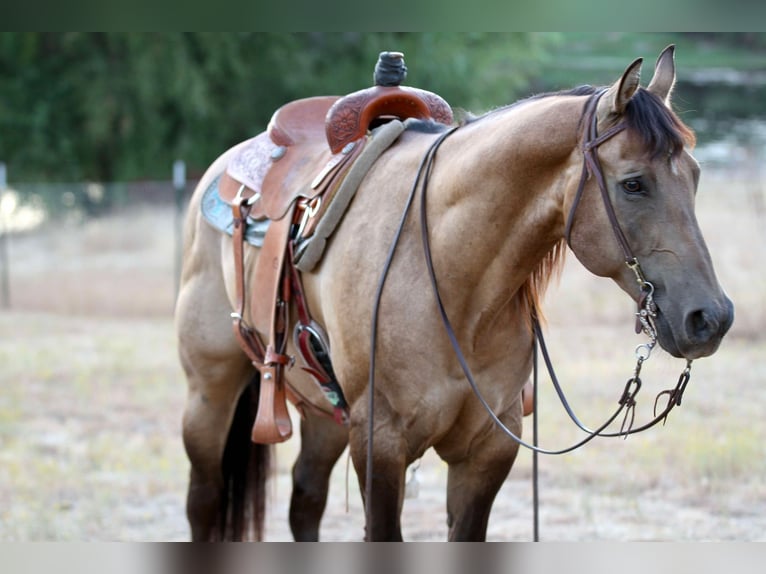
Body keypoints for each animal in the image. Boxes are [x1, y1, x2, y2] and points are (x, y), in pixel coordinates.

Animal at [176, 46, 736, 544]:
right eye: (634, 184)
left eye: (695, 176)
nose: (711, 318)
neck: (454, 283)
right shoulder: (381, 443)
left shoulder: (487, 447)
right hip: (209, 394)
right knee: (204, 501)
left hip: (326, 415)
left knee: (305, 502)